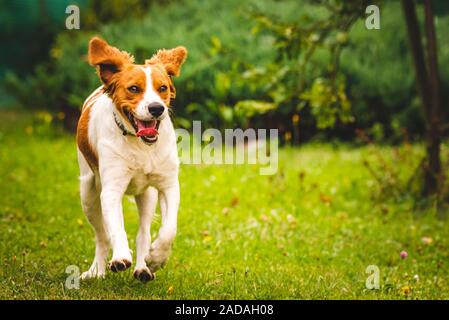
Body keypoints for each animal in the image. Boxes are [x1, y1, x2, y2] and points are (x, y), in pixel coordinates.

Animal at [75, 38, 186, 282]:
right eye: (134, 88)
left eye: (162, 88)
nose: (157, 108)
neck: (141, 145)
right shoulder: (111, 189)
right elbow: (116, 228)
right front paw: (120, 257)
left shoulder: (168, 185)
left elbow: (169, 230)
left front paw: (156, 258)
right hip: (88, 193)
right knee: (101, 236)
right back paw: (96, 270)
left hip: (146, 196)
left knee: (143, 231)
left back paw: (144, 267)